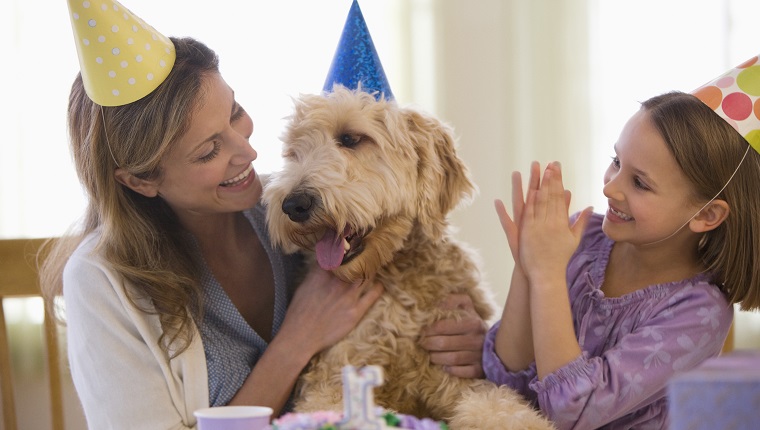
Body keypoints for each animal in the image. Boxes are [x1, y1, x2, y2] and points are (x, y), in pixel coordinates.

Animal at [262, 85, 552, 428]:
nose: (294, 205)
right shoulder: (331, 381)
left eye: (350, 139)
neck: (395, 274)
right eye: (294, 152)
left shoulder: (456, 371)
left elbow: (502, 410)